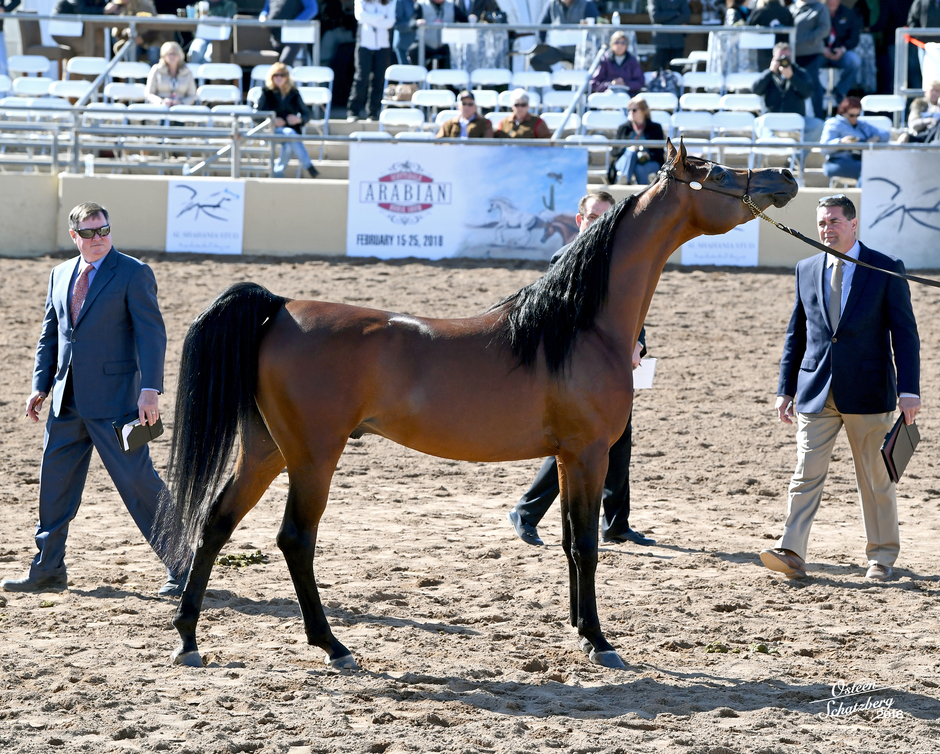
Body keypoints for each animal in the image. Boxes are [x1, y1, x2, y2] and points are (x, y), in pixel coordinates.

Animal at [156, 141, 798, 671]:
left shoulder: (568, 458)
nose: (786, 175)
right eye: (716, 172)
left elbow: (569, 541)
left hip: (265, 449)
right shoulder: (589, 454)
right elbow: (587, 545)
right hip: (313, 455)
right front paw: (599, 640)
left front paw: (579, 631)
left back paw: (188, 637)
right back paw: (332, 645)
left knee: (216, 522)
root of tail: (280, 308)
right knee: (295, 539)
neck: (575, 327)